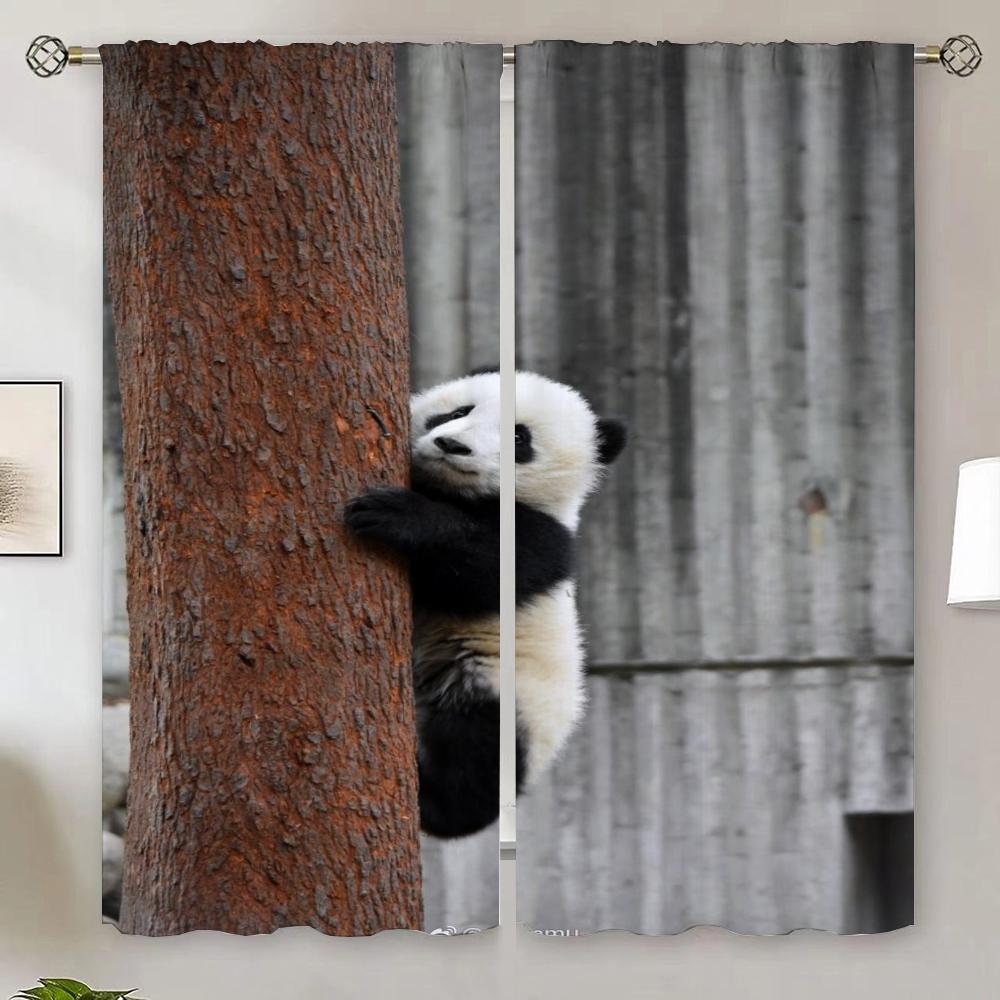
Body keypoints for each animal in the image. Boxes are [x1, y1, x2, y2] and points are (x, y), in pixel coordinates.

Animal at [345, 369, 626, 838]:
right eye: (458, 412)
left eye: (518, 437)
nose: (451, 445)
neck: (455, 494)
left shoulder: (546, 540)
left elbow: (483, 568)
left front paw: (397, 515)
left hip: (509, 694)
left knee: (476, 756)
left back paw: (434, 803)